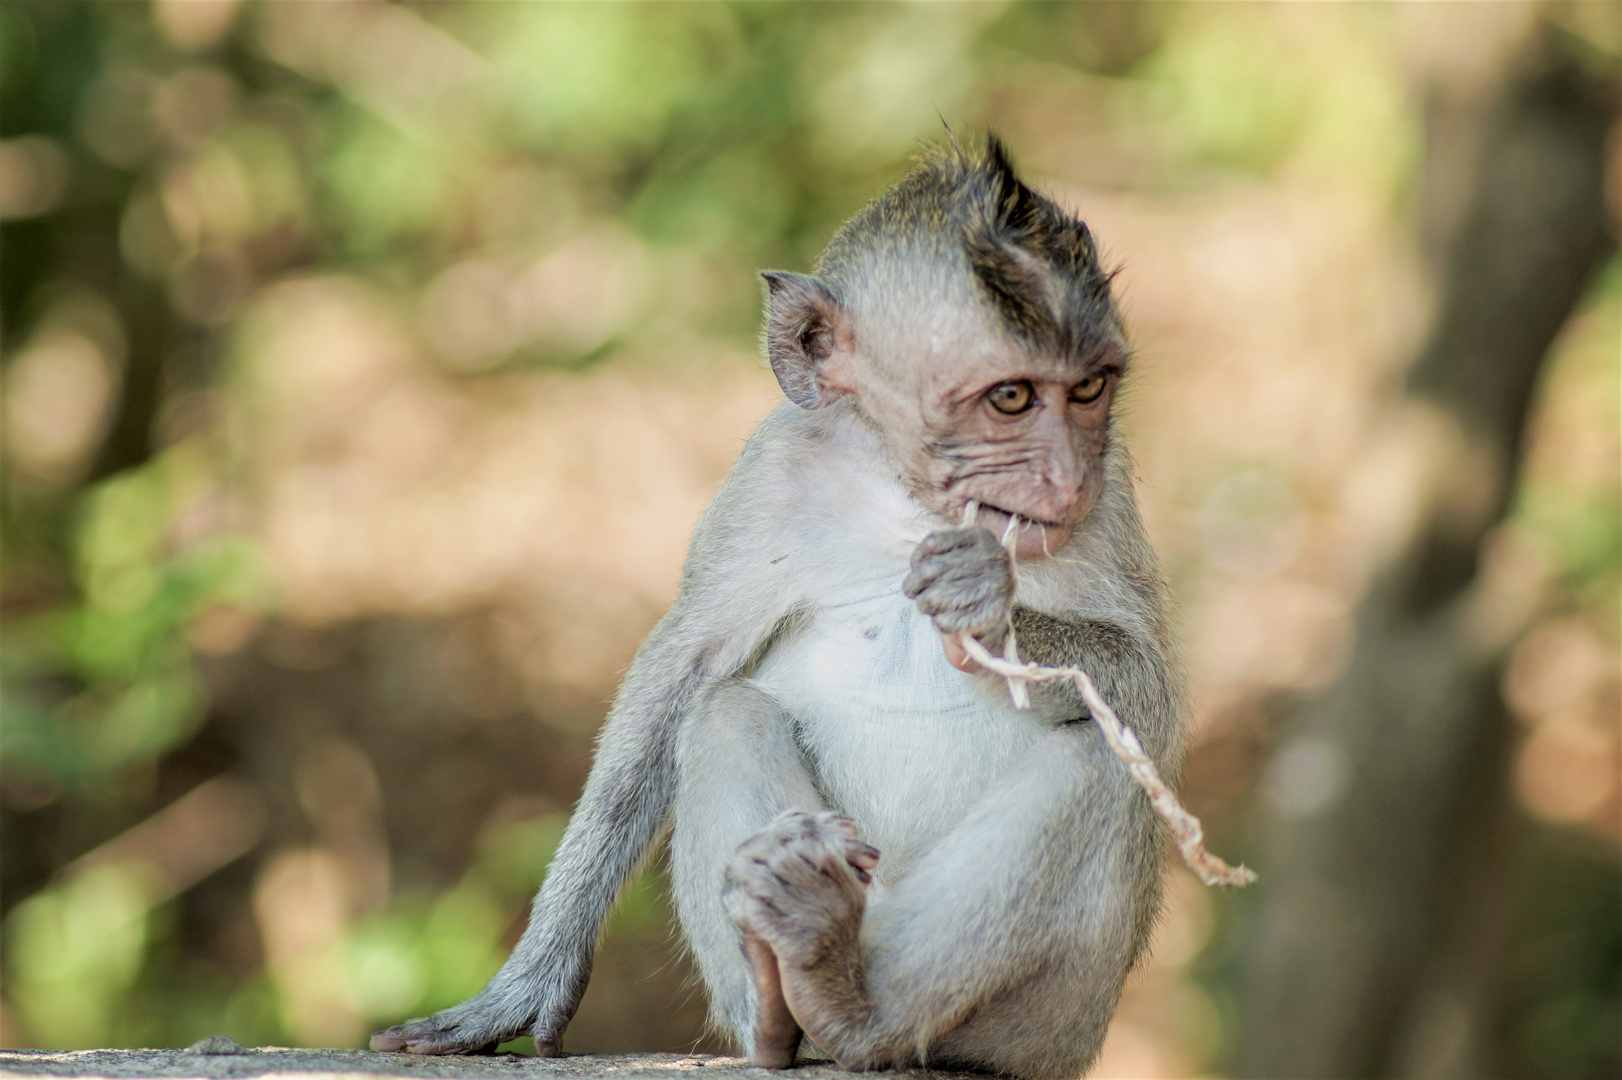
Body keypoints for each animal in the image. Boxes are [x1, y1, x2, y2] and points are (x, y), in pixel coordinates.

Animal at [373, 137, 1187, 1076]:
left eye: (1090, 389)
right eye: (1011, 397)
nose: (1062, 479)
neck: (905, 496)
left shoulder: (1112, 490)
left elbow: (1152, 703)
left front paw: (988, 601)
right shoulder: (769, 477)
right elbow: (681, 676)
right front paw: (532, 977)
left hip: (1053, 1026)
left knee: (1099, 762)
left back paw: (853, 1000)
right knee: (725, 713)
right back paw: (784, 995)